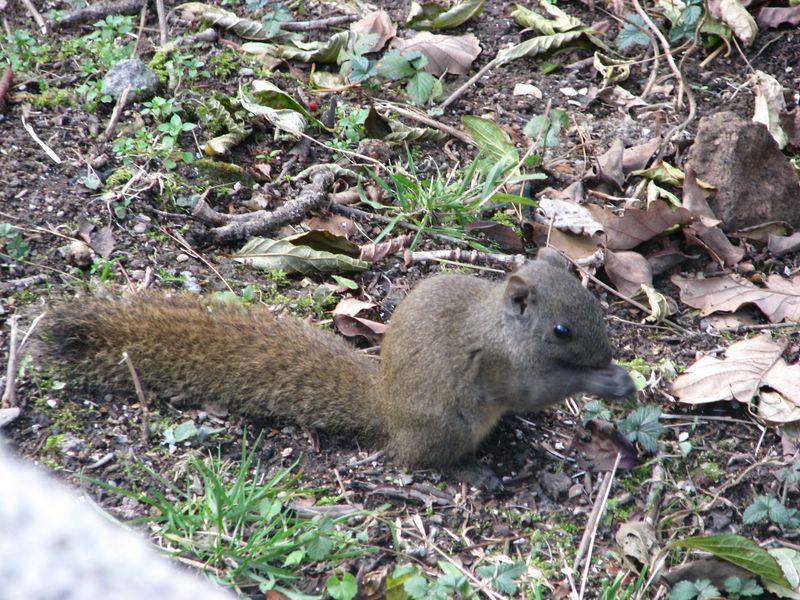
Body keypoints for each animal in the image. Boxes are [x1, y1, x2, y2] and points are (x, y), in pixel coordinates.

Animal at [37, 248, 636, 468]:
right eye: (561, 329)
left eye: (594, 304)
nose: (607, 353)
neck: (503, 328)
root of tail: (386, 409)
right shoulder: (502, 367)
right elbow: (537, 391)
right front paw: (606, 381)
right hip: (447, 426)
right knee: (413, 460)